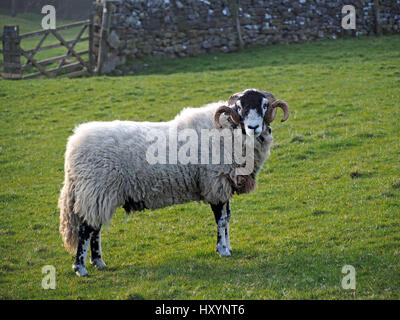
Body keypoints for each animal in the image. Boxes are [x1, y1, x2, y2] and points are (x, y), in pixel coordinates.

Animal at [58, 89, 290, 276]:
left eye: (264, 105)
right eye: (239, 107)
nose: (253, 127)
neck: (229, 130)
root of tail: (73, 145)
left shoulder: (224, 186)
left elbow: (228, 219)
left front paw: (228, 247)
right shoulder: (215, 183)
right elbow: (221, 220)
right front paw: (223, 250)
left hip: (99, 194)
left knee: (95, 229)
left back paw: (98, 262)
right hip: (96, 190)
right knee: (85, 230)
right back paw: (81, 268)